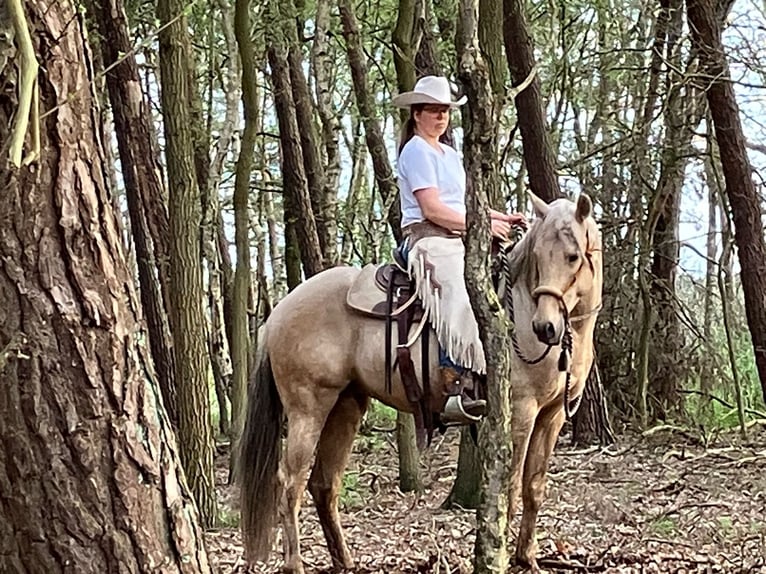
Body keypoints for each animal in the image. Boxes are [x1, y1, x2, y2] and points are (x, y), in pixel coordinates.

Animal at [240, 191, 608, 572]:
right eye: (538, 257)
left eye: (572, 256)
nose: (545, 328)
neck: (517, 310)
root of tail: (279, 310)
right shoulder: (520, 411)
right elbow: (510, 488)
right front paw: (505, 555)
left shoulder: (552, 415)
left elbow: (534, 487)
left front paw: (527, 557)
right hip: (308, 409)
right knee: (290, 483)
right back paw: (295, 563)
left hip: (346, 406)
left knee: (324, 483)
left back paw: (345, 560)